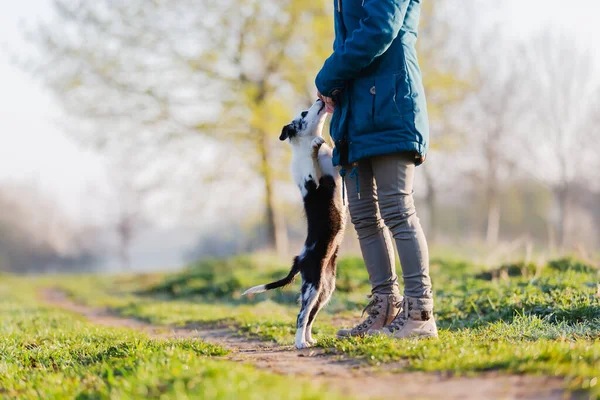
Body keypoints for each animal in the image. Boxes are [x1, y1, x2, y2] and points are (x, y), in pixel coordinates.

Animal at [243, 98, 346, 348]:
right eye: (303, 113)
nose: (319, 99)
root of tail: (298, 260)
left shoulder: (336, 170)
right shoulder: (315, 181)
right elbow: (312, 158)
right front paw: (315, 146)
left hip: (325, 288)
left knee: (310, 315)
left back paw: (309, 339)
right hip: (312, 285)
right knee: (301, 315)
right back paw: (299, 343)